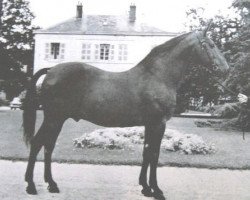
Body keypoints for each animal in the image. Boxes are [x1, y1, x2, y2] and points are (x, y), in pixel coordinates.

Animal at [23, 29, 229, 198]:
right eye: (211, 45)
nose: (226, 69)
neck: (158, 76)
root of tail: (51, 70)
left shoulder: (150, 125)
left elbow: (146, 152)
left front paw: (145, 188)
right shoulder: (158, 123)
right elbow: (154, 154)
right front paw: (157, 190)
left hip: (56, 119)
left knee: (48, 146)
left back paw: (51, 184)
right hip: (53, 118)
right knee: (38, 143)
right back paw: (31, 186)